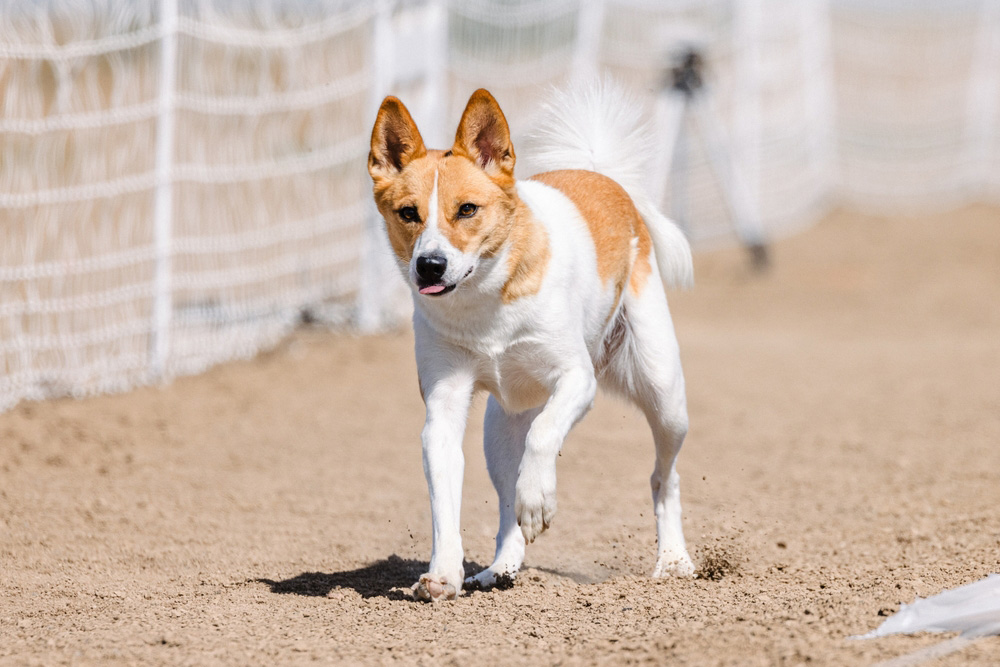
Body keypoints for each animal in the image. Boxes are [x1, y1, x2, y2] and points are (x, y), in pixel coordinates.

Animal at [368, 81, 696, 604]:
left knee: (664, 477)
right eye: (408, 214)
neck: (485, 303)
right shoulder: (443, 406)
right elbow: (445, 499)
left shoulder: (577, 380)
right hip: (499, 429)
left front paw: (539, 501)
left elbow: (544, 438)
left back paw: (674, 560)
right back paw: (500, 569)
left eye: (466, 209)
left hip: (664, 395)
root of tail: (602, 177)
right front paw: (443, 575)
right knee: (507, 506)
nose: (430, 266)